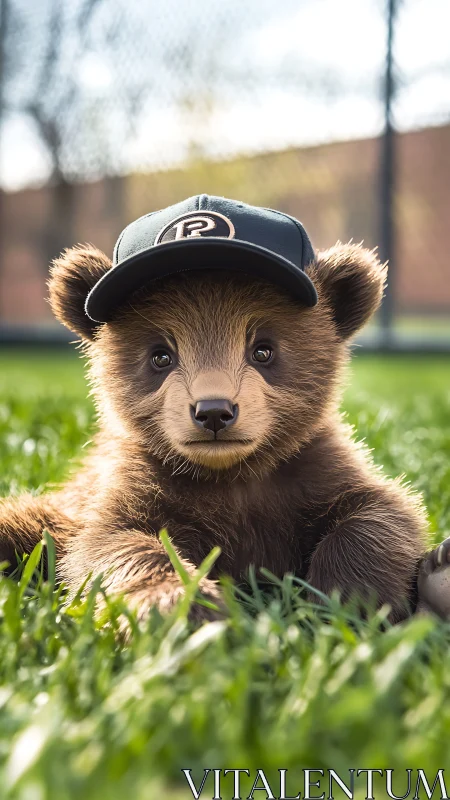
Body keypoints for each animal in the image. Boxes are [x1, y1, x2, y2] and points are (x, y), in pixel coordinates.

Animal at [0, 194, 446, 625]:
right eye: (161, 355)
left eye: (263, 349)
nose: (213, 410)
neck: (230, 478)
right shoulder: (132, 489)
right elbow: (112, 545)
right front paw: (179, 606)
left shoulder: (313, 473)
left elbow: (380, 512)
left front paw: (346, 596)